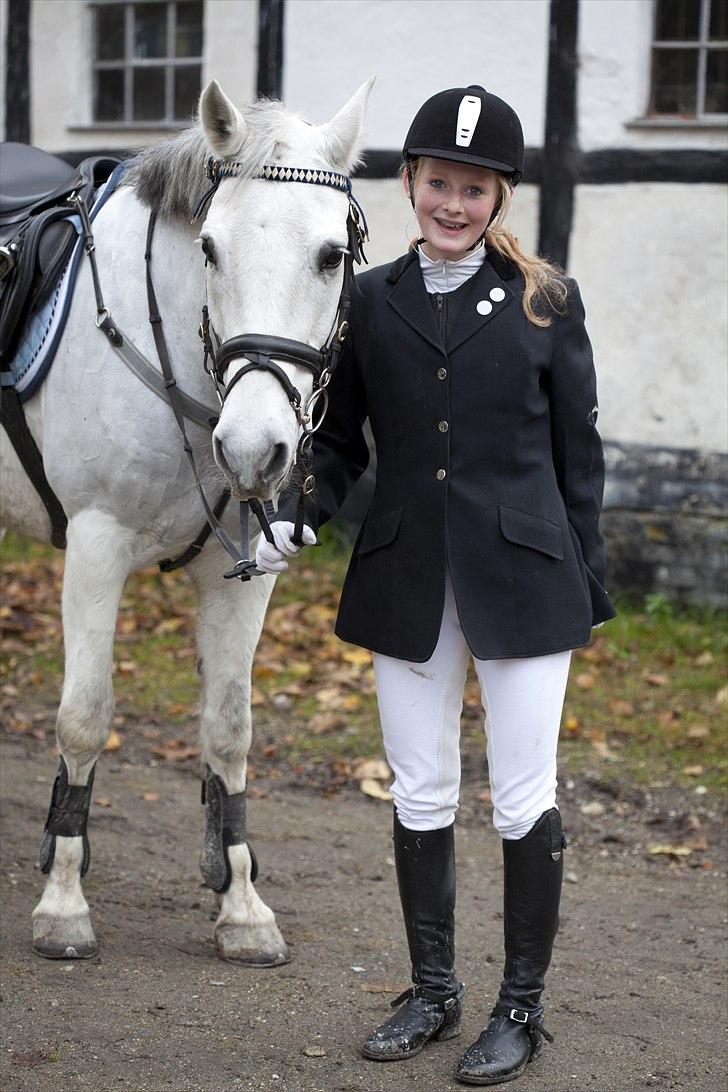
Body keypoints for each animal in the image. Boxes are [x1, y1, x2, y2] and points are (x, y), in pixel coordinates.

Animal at [0, 76, 373, 965]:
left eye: (330, 256)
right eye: (208, 247)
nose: (253, 449)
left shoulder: (245, 574)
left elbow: (230, 729)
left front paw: (241, 906)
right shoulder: (95, 545)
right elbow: (83, 717)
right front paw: (63, 902)